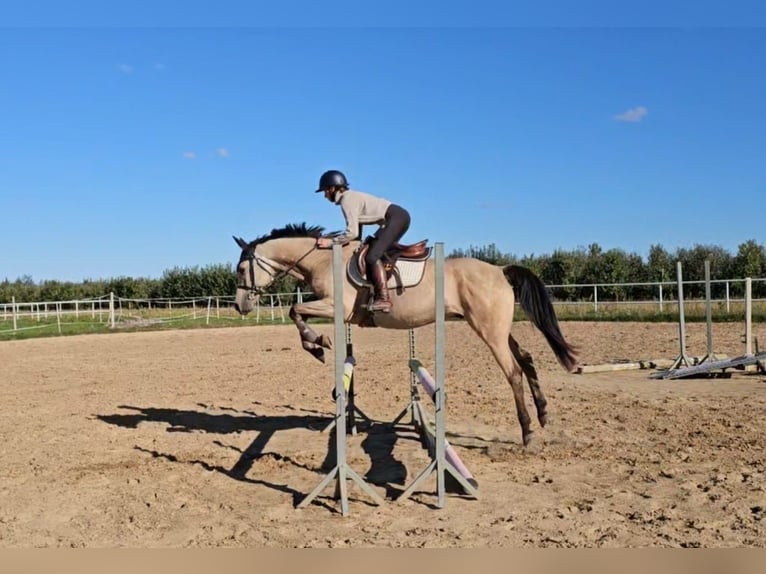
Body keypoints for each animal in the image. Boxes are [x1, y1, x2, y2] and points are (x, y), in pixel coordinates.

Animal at [232, 223, 579, 448]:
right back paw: (544, 415)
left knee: (513, 371)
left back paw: (528, 433)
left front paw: (318, 344)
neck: (322, 260)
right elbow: (297, 312)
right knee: (527, 359)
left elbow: (295, 311)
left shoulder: (336, 307)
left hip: (488, 331)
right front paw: (317, 344)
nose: (240, 305)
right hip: (498, 329)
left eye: (240, 270)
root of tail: (499, 270)